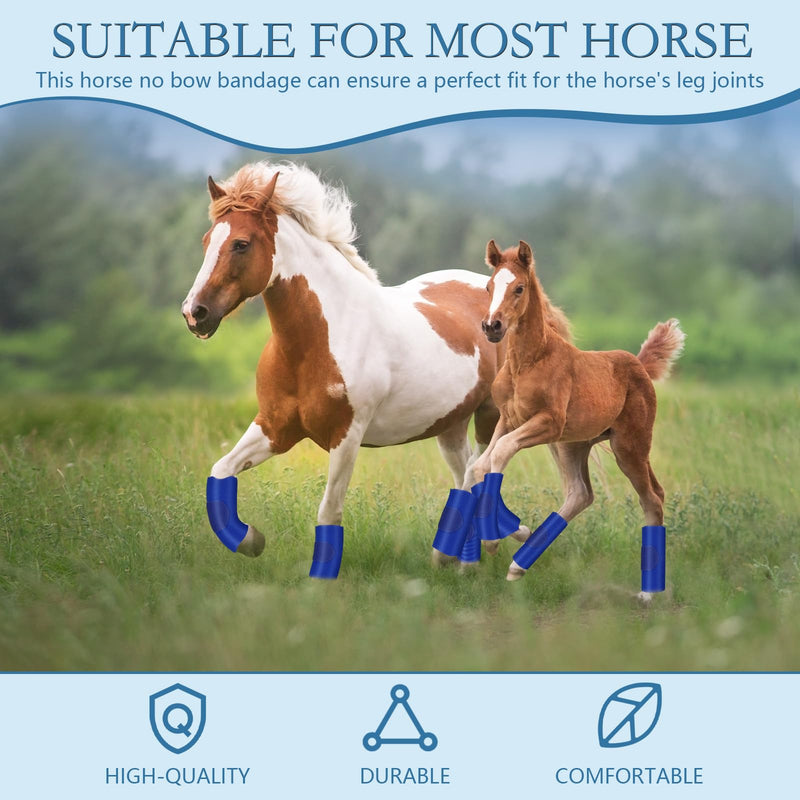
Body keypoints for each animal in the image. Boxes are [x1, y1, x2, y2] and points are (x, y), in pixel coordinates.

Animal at [180, 163, 572, 577]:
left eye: (241, 243)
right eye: (207, 241)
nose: (195, 313)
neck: (317, 340)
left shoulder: (346, 436)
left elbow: (329, 511)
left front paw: (321, 579)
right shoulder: (275, 427)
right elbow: (220, 470)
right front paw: (251, 539)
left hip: (490, 415)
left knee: (480, 470)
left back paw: (481, 551)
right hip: (450, 424)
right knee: (465, 472)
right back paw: (459, 552)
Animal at [473, 239, 685, 597]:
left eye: (519, 288)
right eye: (489, 287)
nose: (491, 327)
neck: (528, 361)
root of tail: (639, 365)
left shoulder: (547, 422)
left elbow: (499, 453)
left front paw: (492, 541)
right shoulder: (509, 419)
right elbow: (480, 465)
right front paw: (508, 533)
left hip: (629, 447)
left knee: (652, 498)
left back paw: (647, 593)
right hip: (572, 445)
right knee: (580, 493)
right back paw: (518, 565)